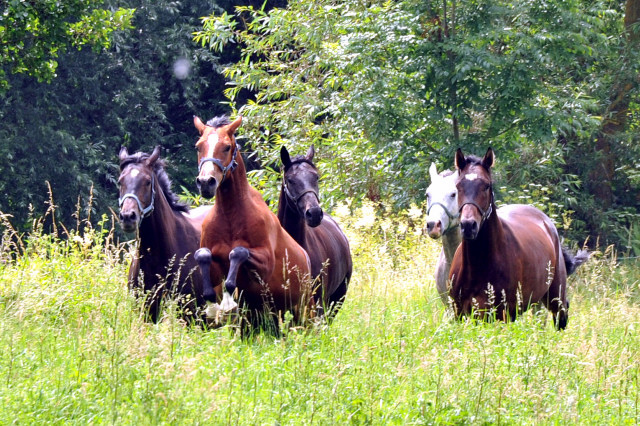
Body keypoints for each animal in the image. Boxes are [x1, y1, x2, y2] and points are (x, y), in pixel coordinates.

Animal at [190, 116, 312, 332]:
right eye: (198, 146)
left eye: (227, 147)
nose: (206, 182)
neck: (230, 216)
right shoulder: (214, 265)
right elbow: (203, 255)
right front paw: (213, 307)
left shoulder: (265, 263)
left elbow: (238, 252)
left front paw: (228, 303)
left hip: (306, 313)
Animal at [448, 147, 588, 330]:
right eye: (458, 186)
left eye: (486, 186)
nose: (468, 225)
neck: (479, 266)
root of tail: (547, 223)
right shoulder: (460, 314)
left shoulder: (502, 315)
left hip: (556, 298)